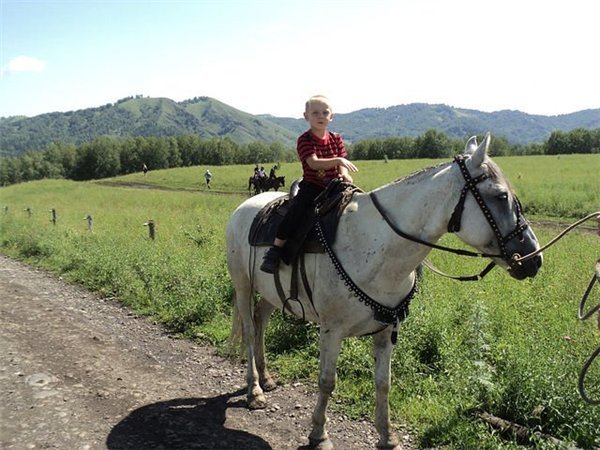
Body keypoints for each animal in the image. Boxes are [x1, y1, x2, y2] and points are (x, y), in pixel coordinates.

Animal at [226, 134, 544, 450]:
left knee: (261, 320)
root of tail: (246, 206)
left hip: (271, 294)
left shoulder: (386, 329)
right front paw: (319, 433)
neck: (377, 244)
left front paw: (387, 437)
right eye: (500, 196)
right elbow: (327, 381)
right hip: (243, 286)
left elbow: (383, 383)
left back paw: (266, 378)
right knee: (251, 331)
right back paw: (255, 391)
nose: (534, 258)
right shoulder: (331, 330)